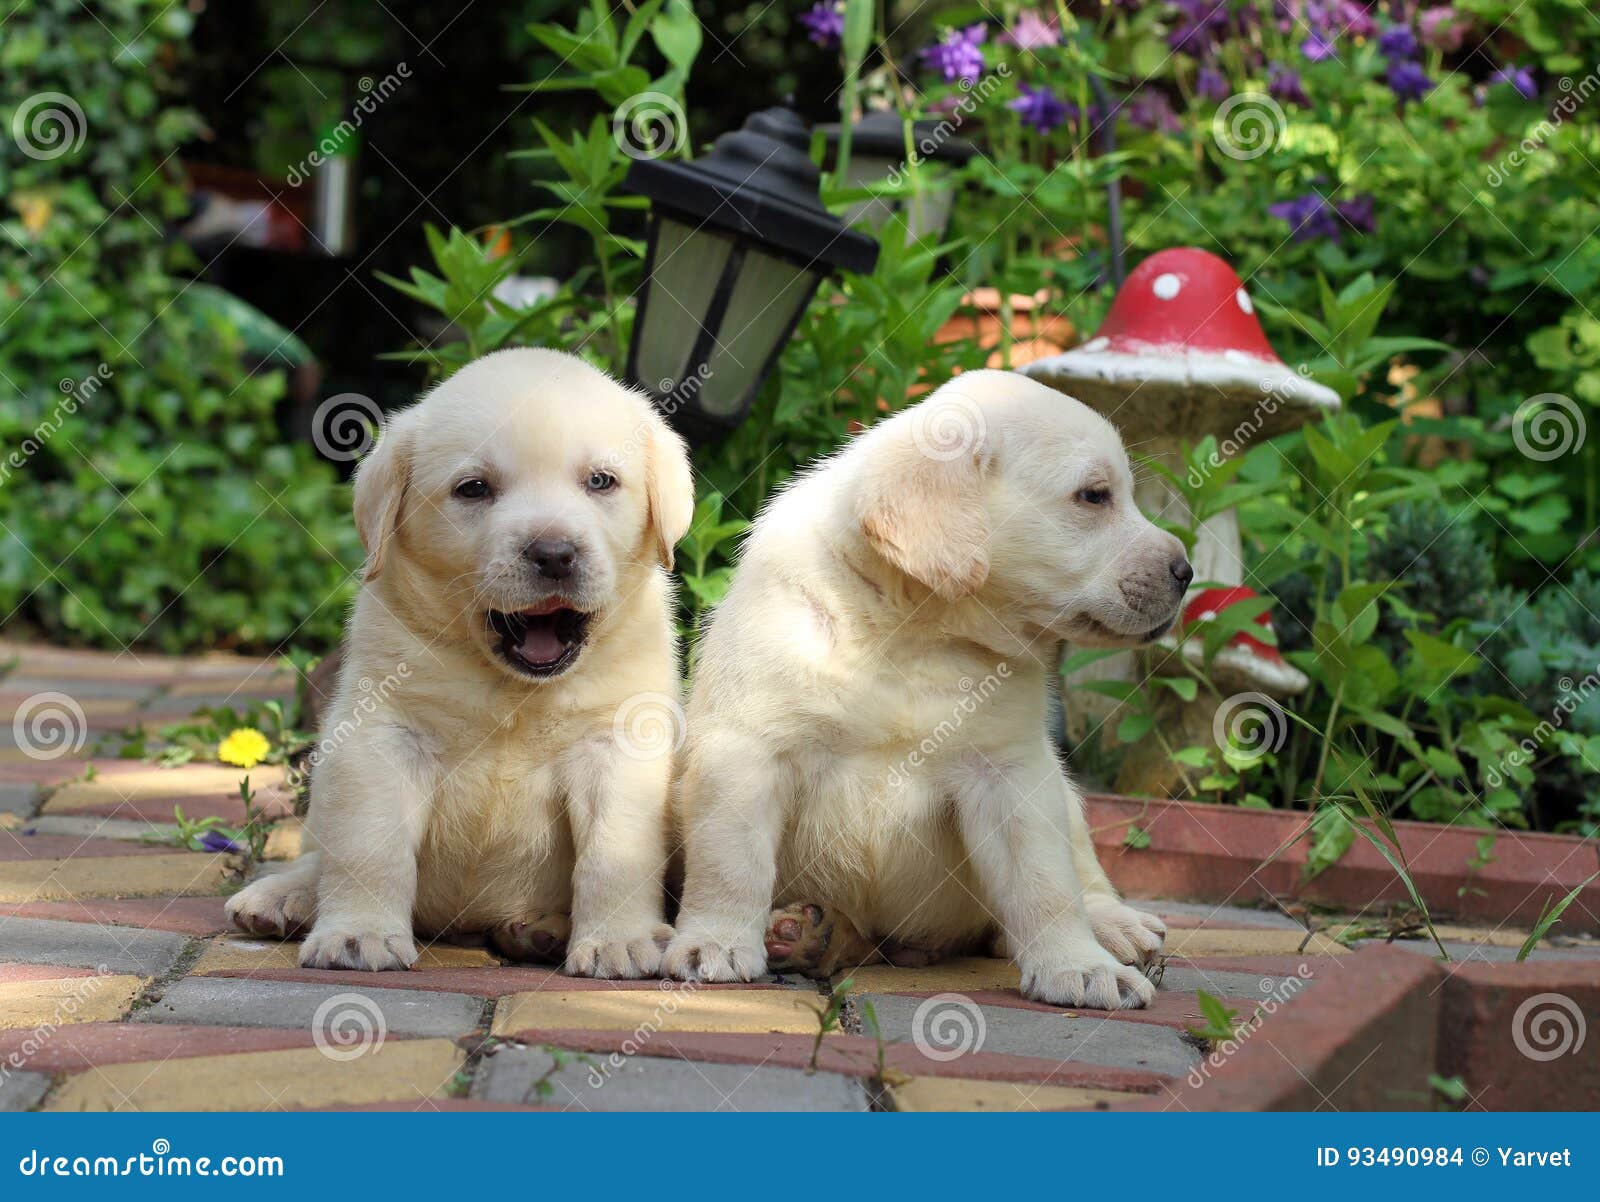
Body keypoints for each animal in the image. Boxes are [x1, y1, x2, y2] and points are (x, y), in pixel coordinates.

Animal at [227, 347, 694, 979]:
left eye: (601, 481)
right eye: (474, 489)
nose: (554, 554)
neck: (511, 691)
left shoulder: (617, 743)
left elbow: (614, 854)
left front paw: (619, 940)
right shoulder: (382, 737)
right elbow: (369, 848)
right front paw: (359, 934)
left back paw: (540, 929)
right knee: (320, 852)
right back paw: (284, 896)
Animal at [662, 371, 1190, 1011]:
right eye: (1094, 496)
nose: (1186, 572)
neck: (912, 635)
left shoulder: (1010, 773)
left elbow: (1045, 882)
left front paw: (1078, 966)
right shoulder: (748, 753)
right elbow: (730, 861)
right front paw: (714, 942)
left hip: (1060, 788)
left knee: (1080, 874)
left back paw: (1116, 927)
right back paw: (806, 934)